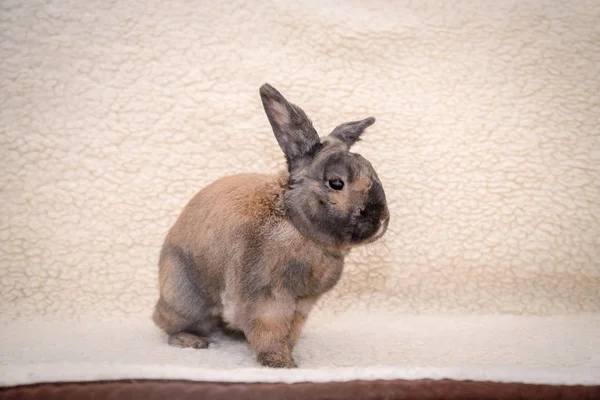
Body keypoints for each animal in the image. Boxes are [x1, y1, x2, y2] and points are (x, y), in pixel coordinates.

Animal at [152, 84, 392, 368]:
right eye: (336, 183)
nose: (381, 220)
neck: (296, 223)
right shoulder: (267, 299)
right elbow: (270, 330)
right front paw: (280, 363)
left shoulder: (301, 305)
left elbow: (291, 331)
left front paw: (289, 355)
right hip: (187, 300)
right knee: (166, 324)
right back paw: (192, 340)